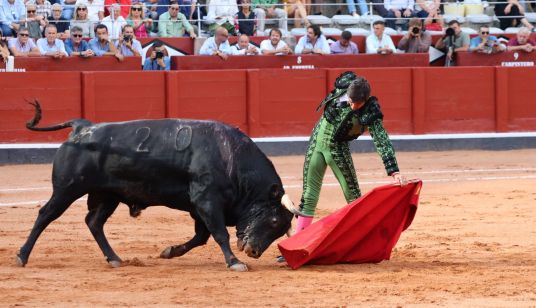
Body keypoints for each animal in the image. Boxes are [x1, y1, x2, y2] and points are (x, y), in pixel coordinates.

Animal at [16, 103, 304, 272]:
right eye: (274, 220)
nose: (254, 252)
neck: (231, 158)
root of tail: (82, 127)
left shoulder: (198, 208)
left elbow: (201, 237)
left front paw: (169, 252)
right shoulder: (206, 201)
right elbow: (219, 233)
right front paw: (235, 262)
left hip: (109, 195)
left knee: (94, 222)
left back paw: (114, 258)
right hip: (67, 189)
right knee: (46, 215)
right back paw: (22, 256)